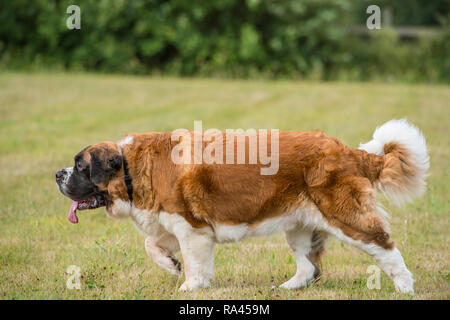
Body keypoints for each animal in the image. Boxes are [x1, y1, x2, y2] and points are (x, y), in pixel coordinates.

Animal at [56, 119, 428, 294]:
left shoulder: (192, 228)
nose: (57, 174)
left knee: (384, 246)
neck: (131, 169)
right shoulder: (175, 221)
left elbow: (195, 263)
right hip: (299, 225)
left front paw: (190, 285)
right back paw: (288, 288)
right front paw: (171, 265)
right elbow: (152, 243)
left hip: (345, 216)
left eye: (80, 166)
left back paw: (405, 287)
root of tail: (351, 151)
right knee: (309, 267)